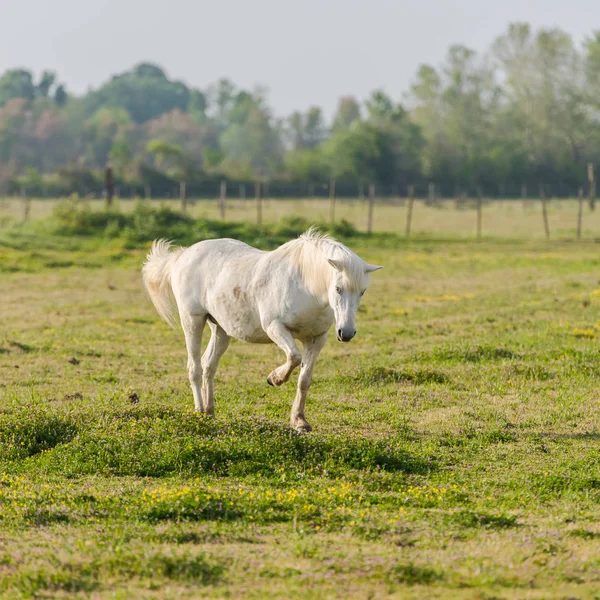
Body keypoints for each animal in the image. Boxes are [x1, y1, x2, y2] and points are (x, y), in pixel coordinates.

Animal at [143, 227, 382, 428]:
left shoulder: (317, 338)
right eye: (338, 288)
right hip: (192, 321)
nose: (347, 333)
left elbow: (304, 379)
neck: (306, 285)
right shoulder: (275, 327)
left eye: (362, 291)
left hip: (221, 330)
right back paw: (199, 411)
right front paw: (274, 379)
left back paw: (210, 412)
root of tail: (184, 255)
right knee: (195, 367)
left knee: (209, 366)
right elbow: (294, 357)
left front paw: (299, 421)